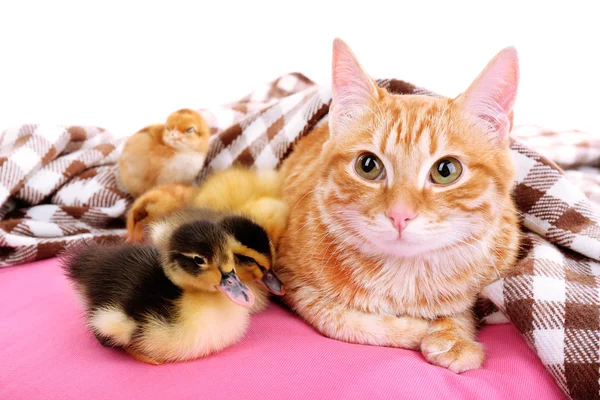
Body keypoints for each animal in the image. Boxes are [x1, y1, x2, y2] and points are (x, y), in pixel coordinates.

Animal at [276, 39, 520, 374]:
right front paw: (417, 329)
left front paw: (454, 335)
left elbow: (462, 308)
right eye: (368, 166)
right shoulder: (288, 280)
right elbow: (339, 318)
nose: (399, 215)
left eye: (446, 170)